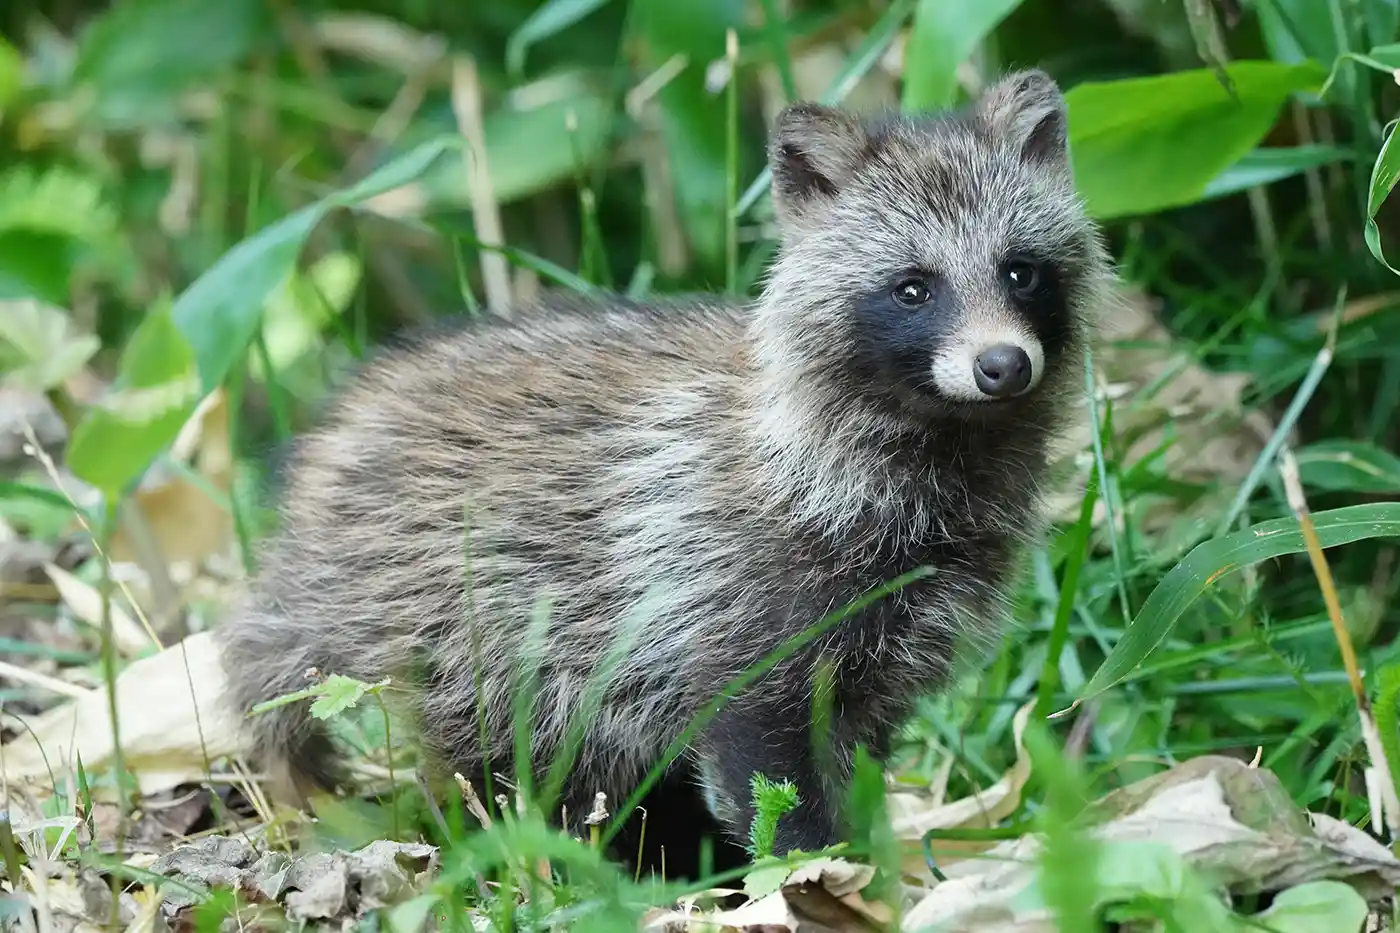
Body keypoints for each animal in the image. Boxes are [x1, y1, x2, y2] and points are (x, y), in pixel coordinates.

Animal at [215, 70, 1114, 857]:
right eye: (914, 288)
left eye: (1020, 270)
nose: (1002, 364)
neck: (944, 443)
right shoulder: (726, 596)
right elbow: (767, 762)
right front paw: (819, 870)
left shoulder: (894, 637)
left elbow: (854, 753)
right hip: (453, 621)